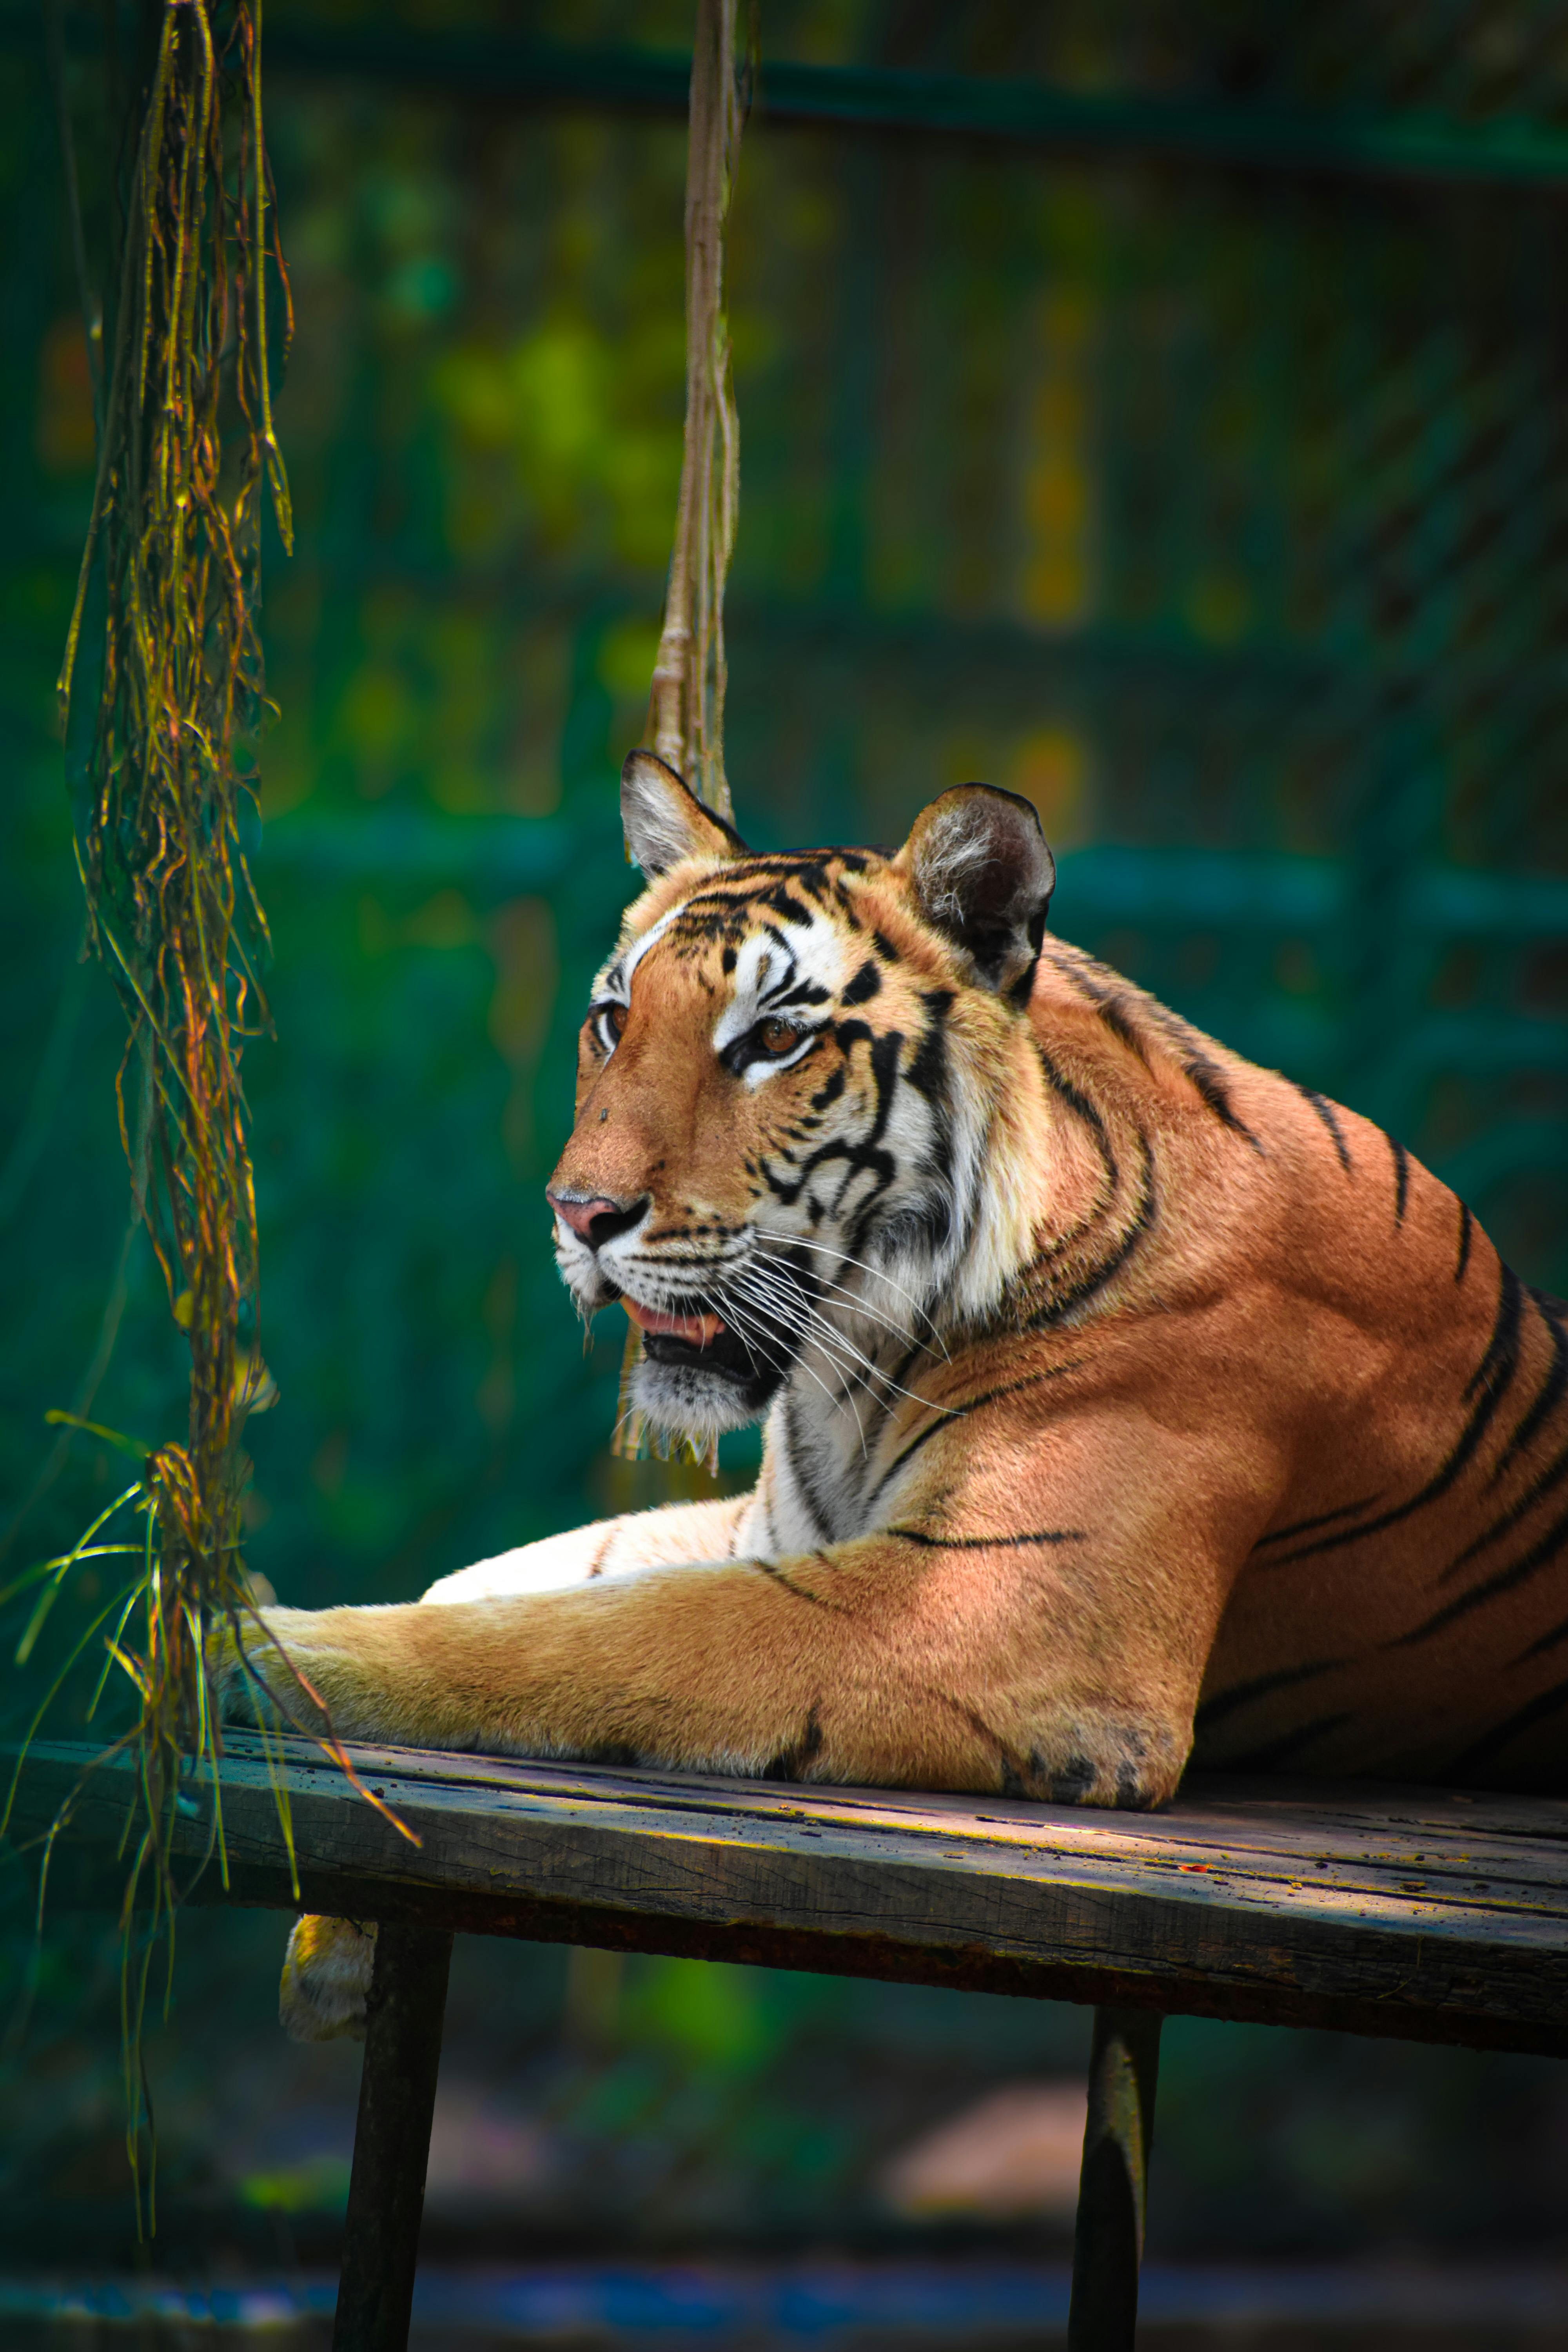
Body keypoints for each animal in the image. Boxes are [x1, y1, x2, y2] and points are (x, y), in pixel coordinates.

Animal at [225, 751, 1568, 2041]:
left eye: (771, 1041)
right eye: (613, 1019)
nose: (580, 1214)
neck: (852, 1365)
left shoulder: (994, 1613)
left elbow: (579, 1637)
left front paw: (244, 1647)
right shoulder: (774, 1530)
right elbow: (494, 1585)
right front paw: (333, 1946)